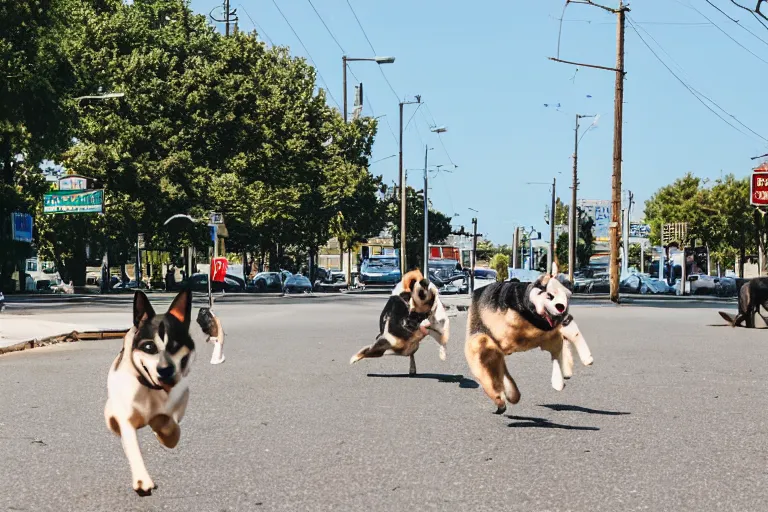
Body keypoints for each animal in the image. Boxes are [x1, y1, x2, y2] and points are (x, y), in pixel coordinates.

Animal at [103, 292, 195, 496]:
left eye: (175, 346)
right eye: (148, 347)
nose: (165, 369)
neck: (150, 388)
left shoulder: (180, 400)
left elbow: (169, 422)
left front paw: (163, 430)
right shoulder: (125, 419)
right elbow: (133, 447)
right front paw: (142, 480)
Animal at [462, 264, 592, 412]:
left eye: (568, 296)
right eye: (550, 295)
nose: (563, 310)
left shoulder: (548, 334)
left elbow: (563, 340)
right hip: (482, 349)